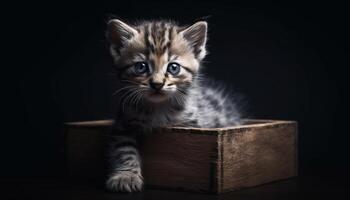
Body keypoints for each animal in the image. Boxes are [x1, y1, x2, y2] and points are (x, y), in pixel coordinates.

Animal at [105, 18, 242, 192]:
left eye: (173, 67)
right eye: (141, 67)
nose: (157, 84)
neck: (158, 108)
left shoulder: (192, 125)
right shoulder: (123, 125)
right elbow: (124, 150)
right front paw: (126, 176)